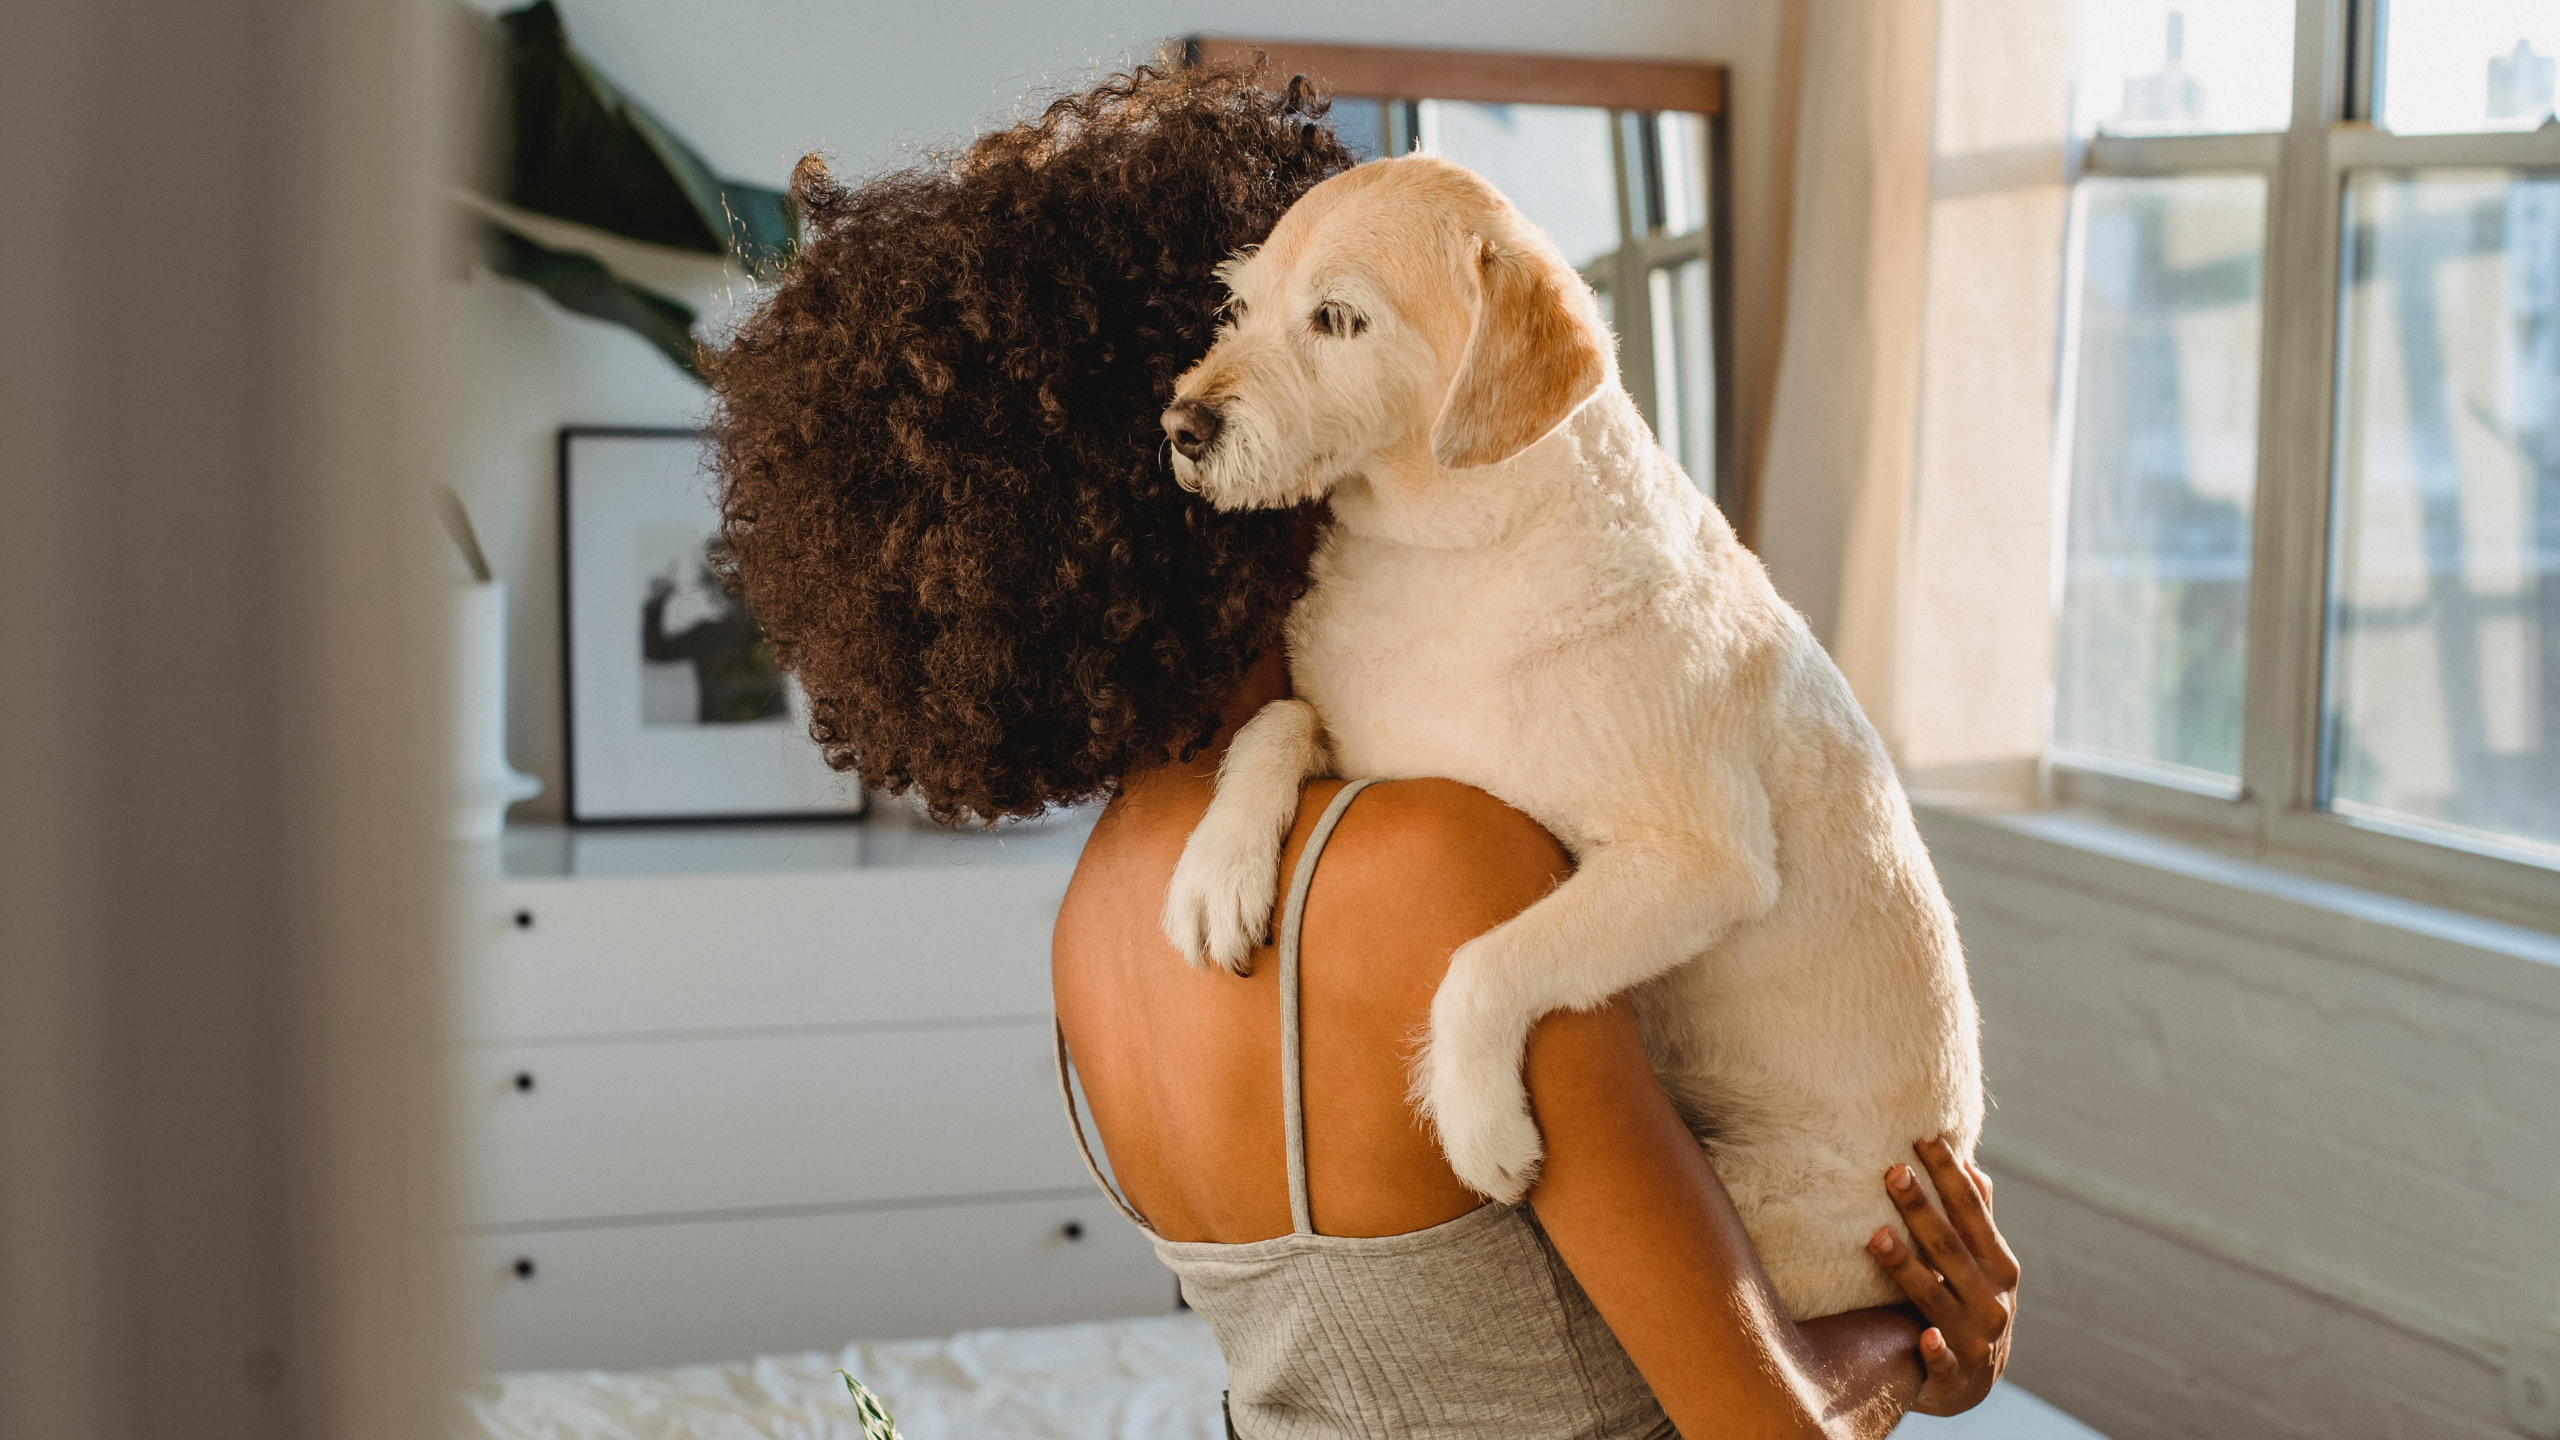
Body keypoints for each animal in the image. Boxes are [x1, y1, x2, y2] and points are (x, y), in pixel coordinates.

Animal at [1157, 154, 1976, 1311]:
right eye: (1240, 304)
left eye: (1336, 319)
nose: (1181, 426)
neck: (1445, 555)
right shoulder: (1361, 744)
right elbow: (1276, 716)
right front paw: (1218, 871)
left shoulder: (1695, 866)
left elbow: (1486, 962)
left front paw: (1478, 1122)